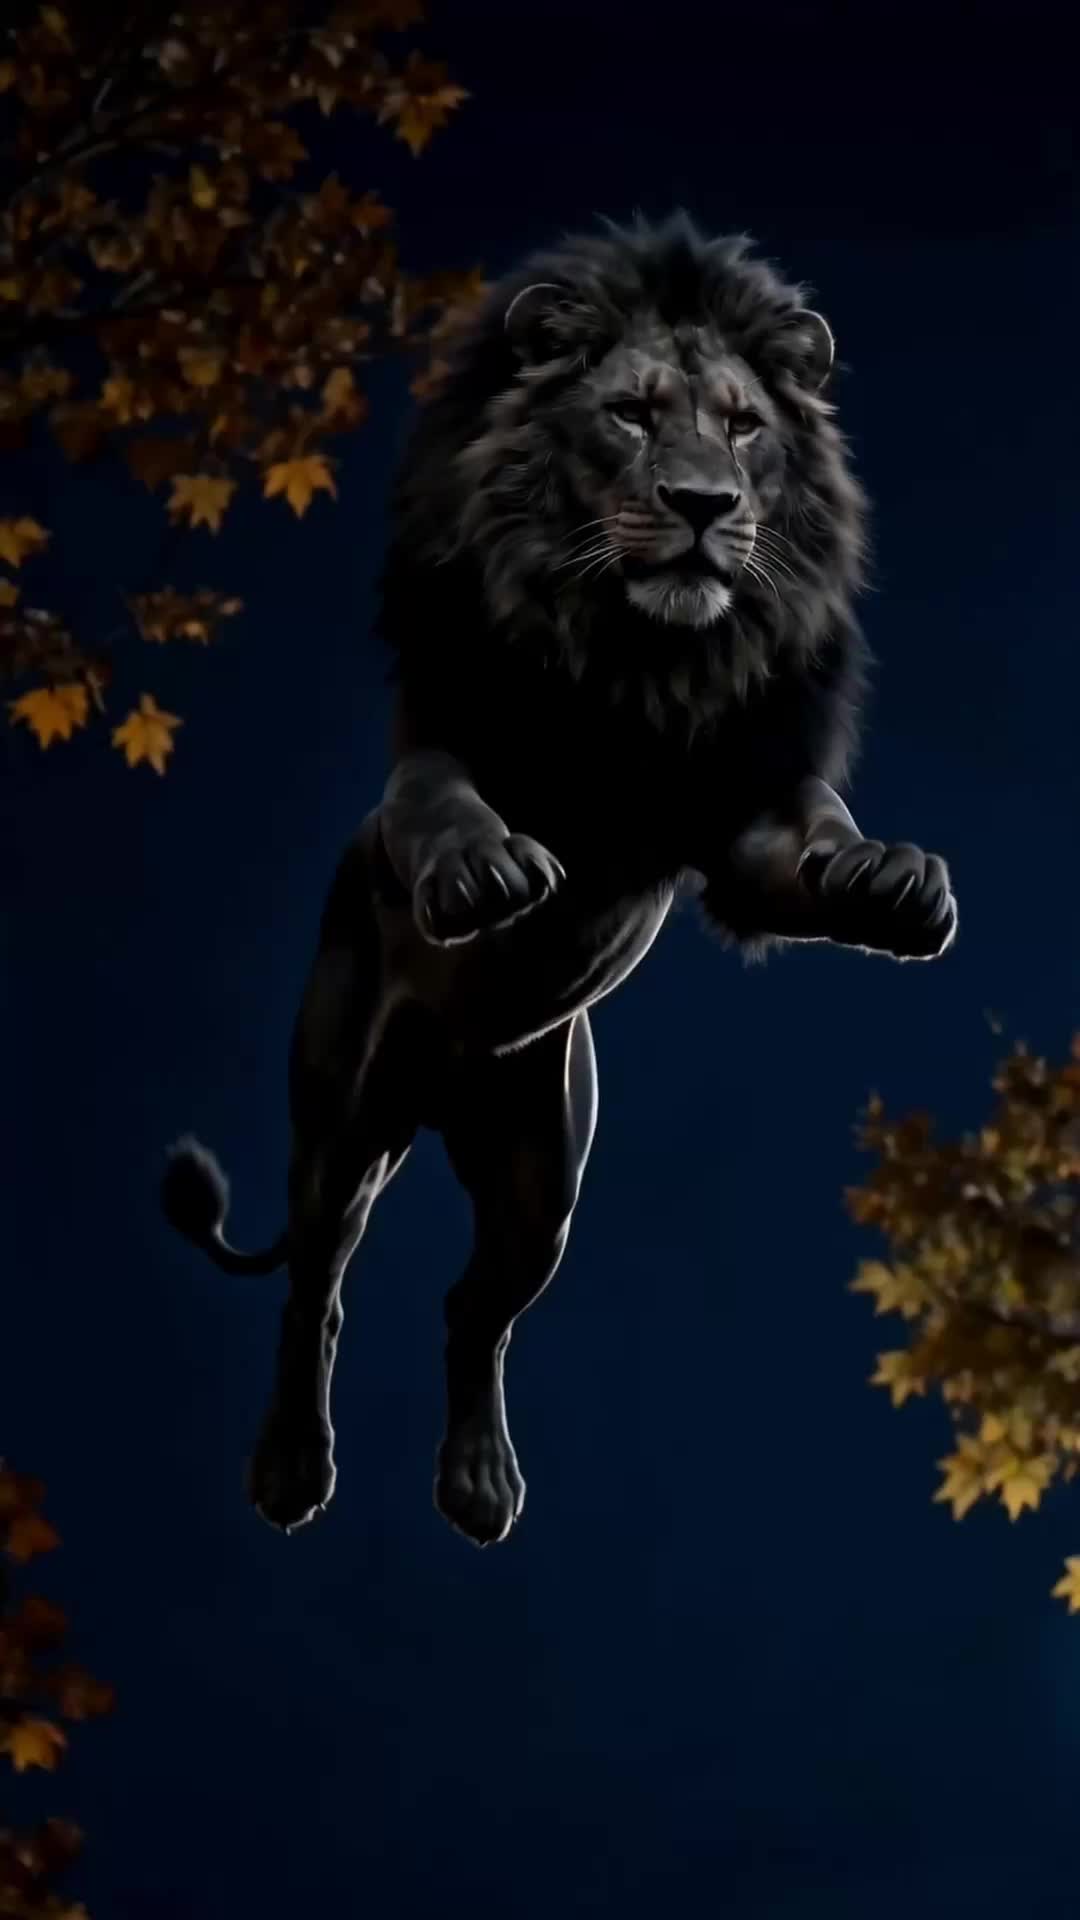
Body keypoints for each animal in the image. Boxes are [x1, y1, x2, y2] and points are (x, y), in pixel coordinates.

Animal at [162, 212, 957, 1549]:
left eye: (743, 425)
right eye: (631, 415)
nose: (703, 505)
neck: (638, 660)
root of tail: (440, 1096)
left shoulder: (736, 810)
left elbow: (811, 841)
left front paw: (887, 879)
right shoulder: (445, 737)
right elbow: (437, 799)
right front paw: (483, 872)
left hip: (542, 1175)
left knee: (471, 1313)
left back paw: (479, 1481)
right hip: (341, 1126)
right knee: (316, 1289)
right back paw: (289, 1466)